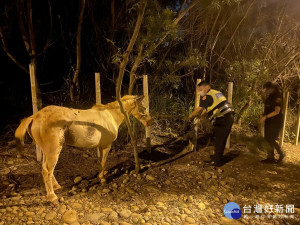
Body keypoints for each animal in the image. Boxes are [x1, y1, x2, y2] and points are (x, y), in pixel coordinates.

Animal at [14, 95, 151, 202]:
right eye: (143, 107)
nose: (149, 122)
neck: (110, 115)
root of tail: (35, 116)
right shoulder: (106, 146)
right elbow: (103, 162)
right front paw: (102, 179)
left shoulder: (100, 147)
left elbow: (100, 162)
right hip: (53, 151)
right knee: (47, 171)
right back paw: (52, 197)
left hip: (46, 151)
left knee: (46, 169)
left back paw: (57, 186)